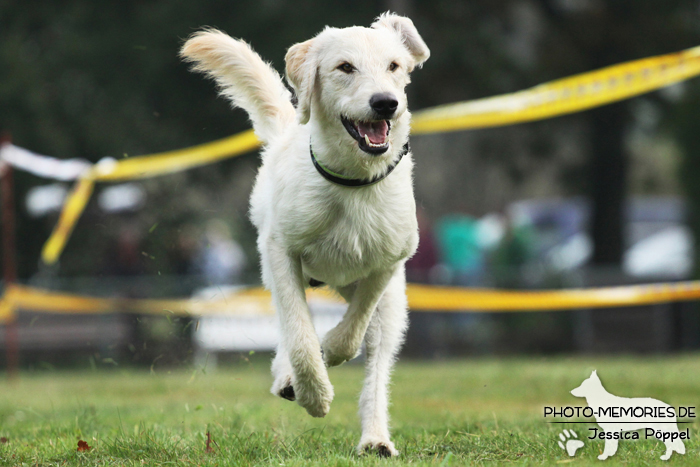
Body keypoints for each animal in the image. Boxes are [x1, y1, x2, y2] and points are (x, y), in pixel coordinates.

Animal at [180, 11, 430, 458]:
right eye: (345, 67)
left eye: (394, 66)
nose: (386, 102)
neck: (353, 183)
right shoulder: (280, 253)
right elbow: (298, 336)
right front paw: (313, 392)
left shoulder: (387, 264)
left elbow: (349, 336)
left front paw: (326, 353)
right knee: (290, 329)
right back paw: (290, 378)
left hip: (390, 306)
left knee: (375, 360)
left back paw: (375, 437)